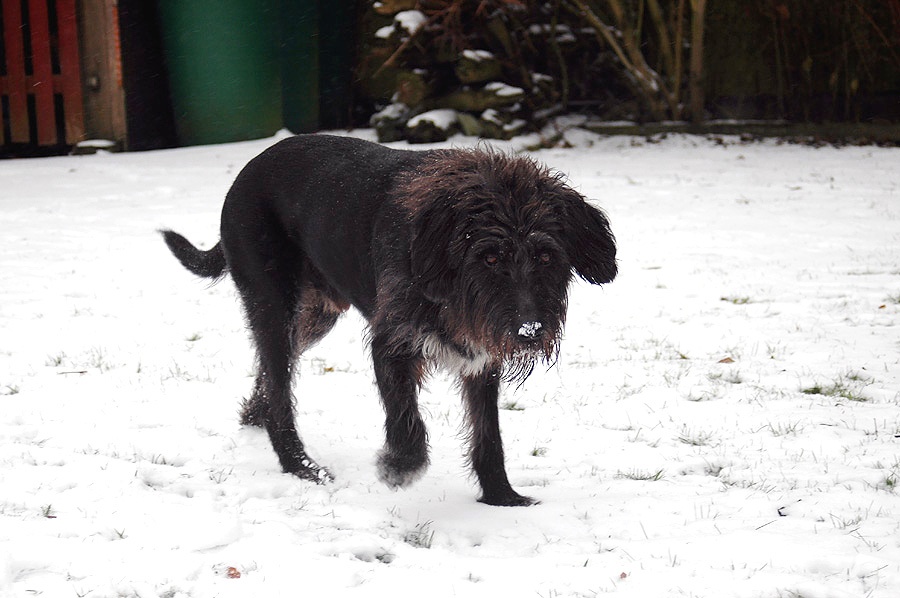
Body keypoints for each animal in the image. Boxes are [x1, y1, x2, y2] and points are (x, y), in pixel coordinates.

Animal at [162, 135, 616, 506]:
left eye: (546, 256)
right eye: (488, 258)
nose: (529, 332)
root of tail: (248, 169)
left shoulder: (480, 359)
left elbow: (488, 434)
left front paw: (501, 497)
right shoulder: (392, 344)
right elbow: (406, 420)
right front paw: (399, 467)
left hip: (314, 316)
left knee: (273, 377)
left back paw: (255, 417)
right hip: (274, 308)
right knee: (279, 386)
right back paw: (300, 465)